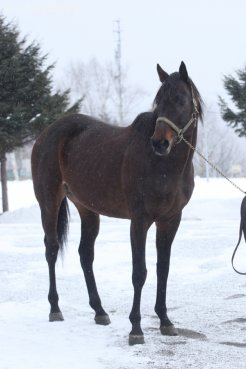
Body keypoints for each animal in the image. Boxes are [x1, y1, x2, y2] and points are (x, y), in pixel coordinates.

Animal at [31, 61, 203, 344]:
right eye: (159, 102)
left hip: (87, 209)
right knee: (52, 249)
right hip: (49, 201)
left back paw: (99, 311)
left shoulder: (170, 220)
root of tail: (46, 133)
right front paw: (136, 329)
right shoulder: (140, 221)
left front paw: (165, 321)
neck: (164, 166)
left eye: (180, 100)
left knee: (85, 254)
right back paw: (55, 308)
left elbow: (163, 269)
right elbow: (139, 273)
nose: (159, 142)